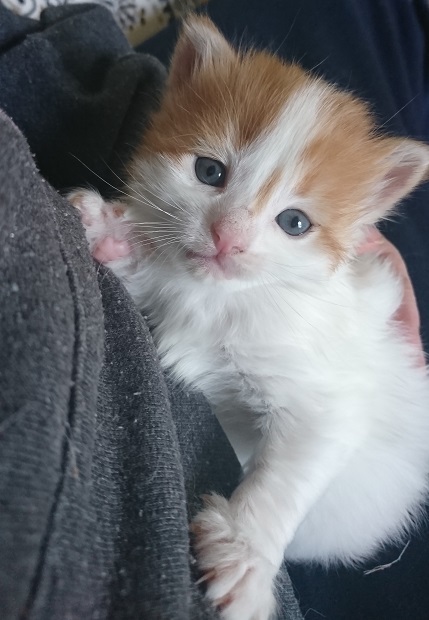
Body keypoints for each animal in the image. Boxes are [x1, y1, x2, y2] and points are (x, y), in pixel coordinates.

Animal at [68, 17, 428, 620]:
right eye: (209, 171)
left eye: (294, 222)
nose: (227, 238)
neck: (220, 299)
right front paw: (112, 234)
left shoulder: (323, 401)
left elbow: (287, 473)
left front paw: (245, 555)